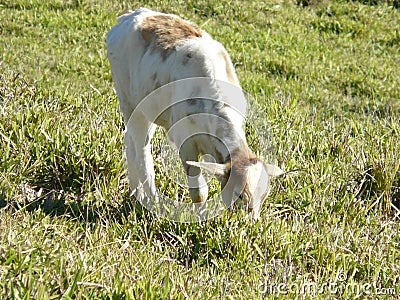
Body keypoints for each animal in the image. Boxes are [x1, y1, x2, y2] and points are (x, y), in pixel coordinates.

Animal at [105, 8, 282, 219]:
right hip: (129, 100)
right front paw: (200, 217)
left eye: (264, 196)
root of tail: (131, 16)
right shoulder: (185, 141)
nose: (250, 223)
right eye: (240, 195)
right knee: (139, 147)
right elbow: (199, 191)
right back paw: (150, 199)